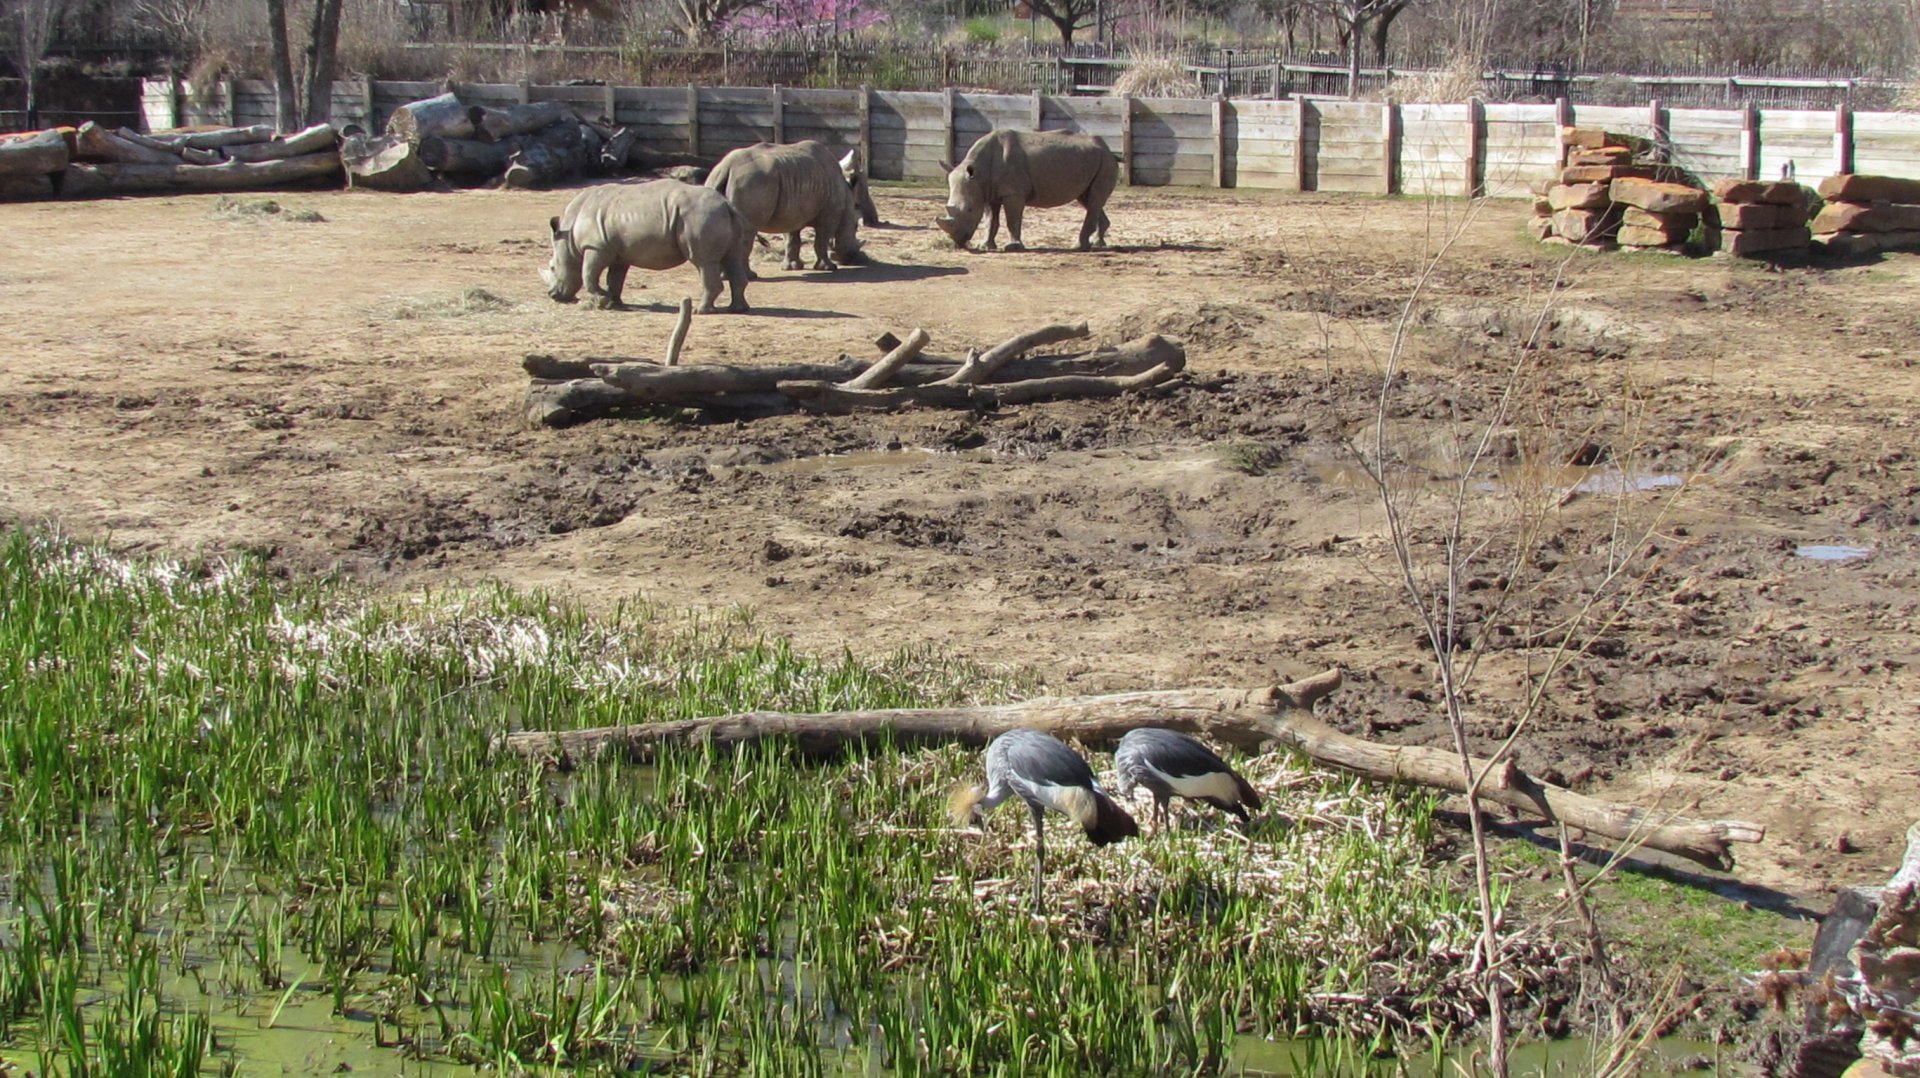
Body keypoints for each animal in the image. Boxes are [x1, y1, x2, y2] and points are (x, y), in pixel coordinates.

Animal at [541, 179, 752, 314]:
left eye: (552, 267)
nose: (552, 295)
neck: (568, 233)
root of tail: (726, 203)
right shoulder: (618, 253)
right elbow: (615, 278)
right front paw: (614, 304)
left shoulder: (595, 246)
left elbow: (588, 274)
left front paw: (602, 300)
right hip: (720, 216)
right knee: (732, 257)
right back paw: (737, 309)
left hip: (701, 216)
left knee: (704, 262)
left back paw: (701, 311)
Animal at [705, 140, 875, 271]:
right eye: (855, 227)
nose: (857, 258)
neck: (846, 191)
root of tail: (727, 167)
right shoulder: (829, 213)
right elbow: (822, 239)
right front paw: (829, 267)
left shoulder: (792, 209)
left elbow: (791, 239)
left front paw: (792, 267)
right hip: (752, 182)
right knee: (748, 231)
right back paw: (749, 276)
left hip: (717, 178)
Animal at [935, 129, 1117, 252]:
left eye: (969, 210)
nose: (957, 241)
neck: (979, 172)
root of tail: (1108, 149)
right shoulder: (987, 192)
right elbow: (990, 221)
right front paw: (985, 246)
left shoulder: (1013, 193)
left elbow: (1012, 220)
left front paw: (1013, 247)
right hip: (1090, 161)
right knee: (1088, 199)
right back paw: (1098, 243)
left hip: (1105, 161)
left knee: (1094, 200)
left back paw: (1079, 246)